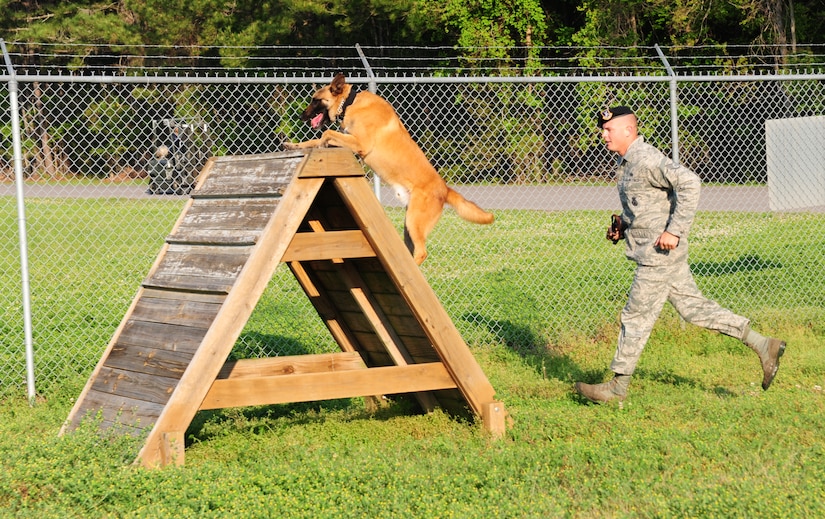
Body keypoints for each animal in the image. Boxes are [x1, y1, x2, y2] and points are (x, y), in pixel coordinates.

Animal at [284, 73, 490, 266]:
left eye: (315, 100)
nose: (301, 116)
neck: (351, 103)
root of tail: (444, 189)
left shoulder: (360, 143)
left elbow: (326, 133)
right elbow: (318, 139)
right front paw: (295, 145)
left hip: (415, 222)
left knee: (421, 252)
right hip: (409, 224)